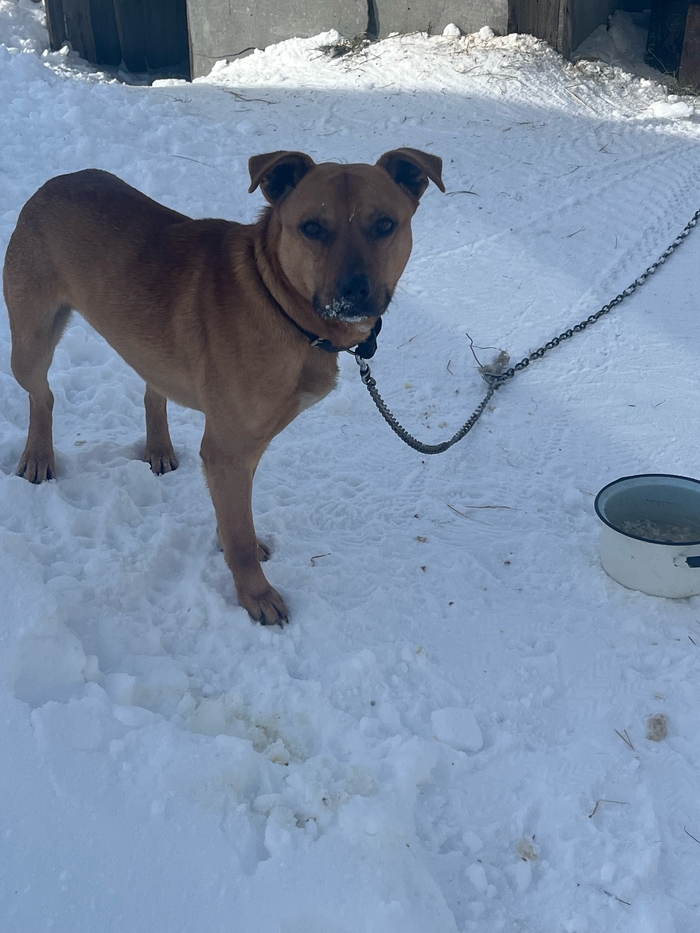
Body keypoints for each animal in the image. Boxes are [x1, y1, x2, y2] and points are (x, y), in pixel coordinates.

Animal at [3, 149, 444, 624]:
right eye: (312, 227)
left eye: (384, 224)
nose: (354, 291)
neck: (280, 305)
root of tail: (55, 183)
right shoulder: (229, 449)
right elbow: (239, 535)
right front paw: (255, 594)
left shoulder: (243, 448)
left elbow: (235, 519)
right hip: (30, 344)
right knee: (43, 395)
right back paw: (38, 455)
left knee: (151, 390)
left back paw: (158, 447)